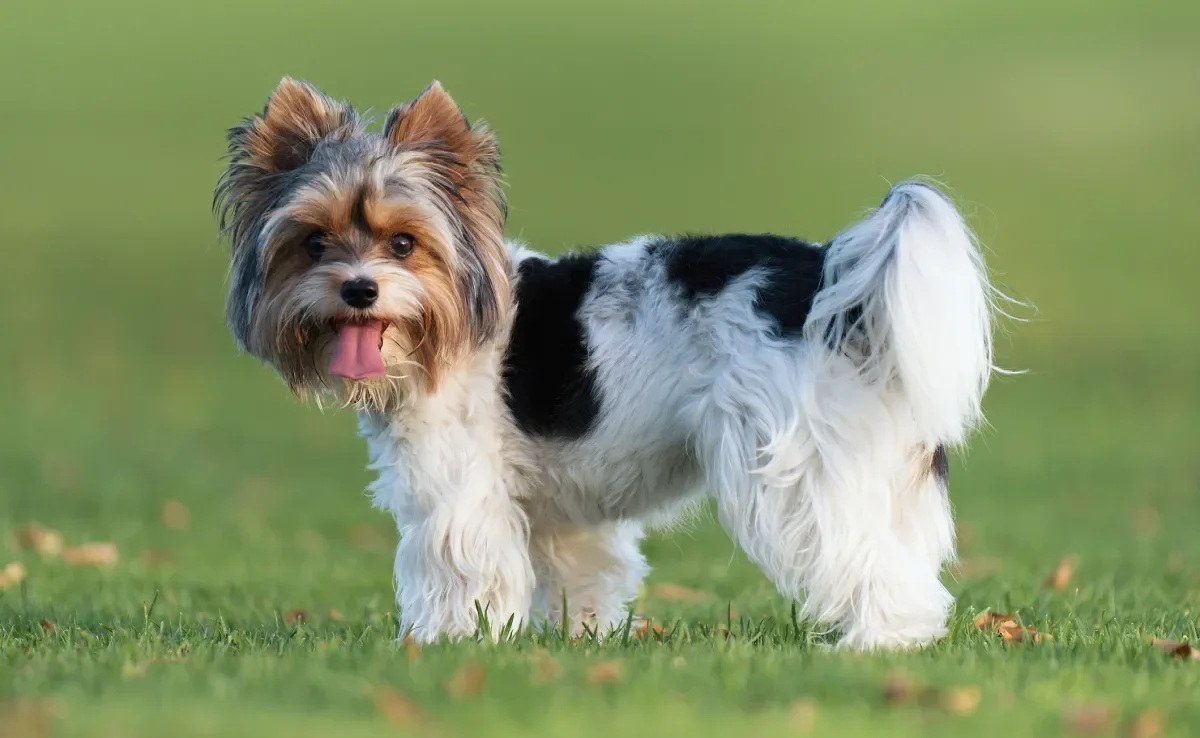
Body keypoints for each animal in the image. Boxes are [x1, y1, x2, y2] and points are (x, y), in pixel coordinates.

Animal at [218, 78, 1003, 648]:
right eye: (314, 244)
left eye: (404, 243)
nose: (358, 288)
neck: (452, 318)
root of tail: (829, 280)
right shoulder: (563, 515)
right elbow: (582, 576)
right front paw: (579, 639)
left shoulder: (457, 489)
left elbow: (457, 567)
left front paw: (444, 644)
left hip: (790, 470)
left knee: (876, 567)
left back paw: (880, 644)